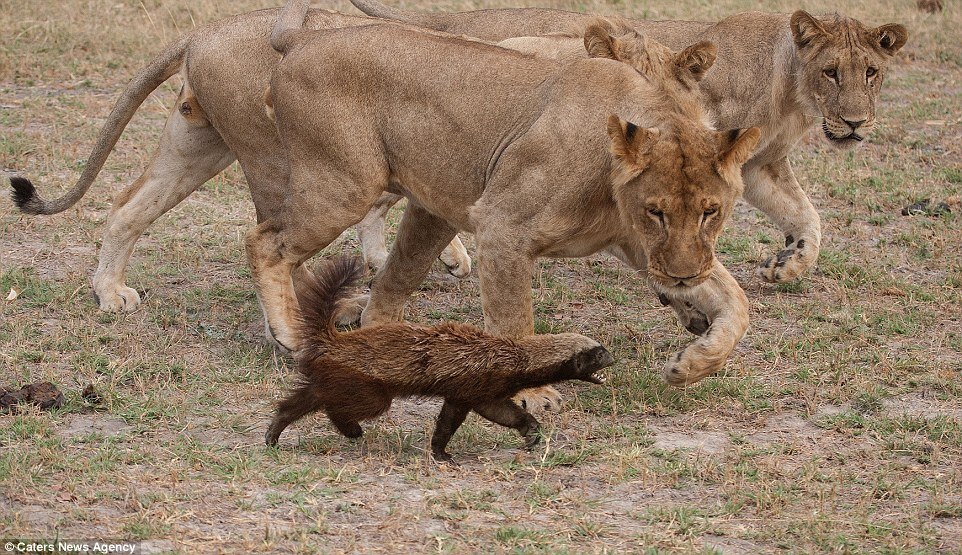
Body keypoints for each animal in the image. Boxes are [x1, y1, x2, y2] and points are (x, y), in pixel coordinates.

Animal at [251, 2, 760, 400]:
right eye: (656, 212)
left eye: (711, 212)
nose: (683, 277)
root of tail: (304, 39)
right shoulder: (503, 227)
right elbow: (515, 322)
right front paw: (532, 395)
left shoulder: (642, 246)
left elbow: (735, 300)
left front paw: (692, 364)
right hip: (343, 187)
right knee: (265, 242)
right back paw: (291, 334)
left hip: (422, 206)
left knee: (382, 285)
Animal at [264, 256, 608, 460]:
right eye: (598, 355)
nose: (612, 360)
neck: (518, 356)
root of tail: (333, 340)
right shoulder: (474, 386)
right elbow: (456, 419)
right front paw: (442, 454)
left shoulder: (479, 390)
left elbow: (500, 413)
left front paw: (532, 434)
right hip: (366, 386)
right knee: (336, 405)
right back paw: (351, 430)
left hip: (336, 376)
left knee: (303, 398)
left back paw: (273, 434)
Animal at [348, 0, 904, 284]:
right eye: (831, 72)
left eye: (871, 72)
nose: (854, 123)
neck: (788, 90)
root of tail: (457, 22)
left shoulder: (758, 166)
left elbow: (807, 216)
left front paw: (789, 265)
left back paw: (391, 260)